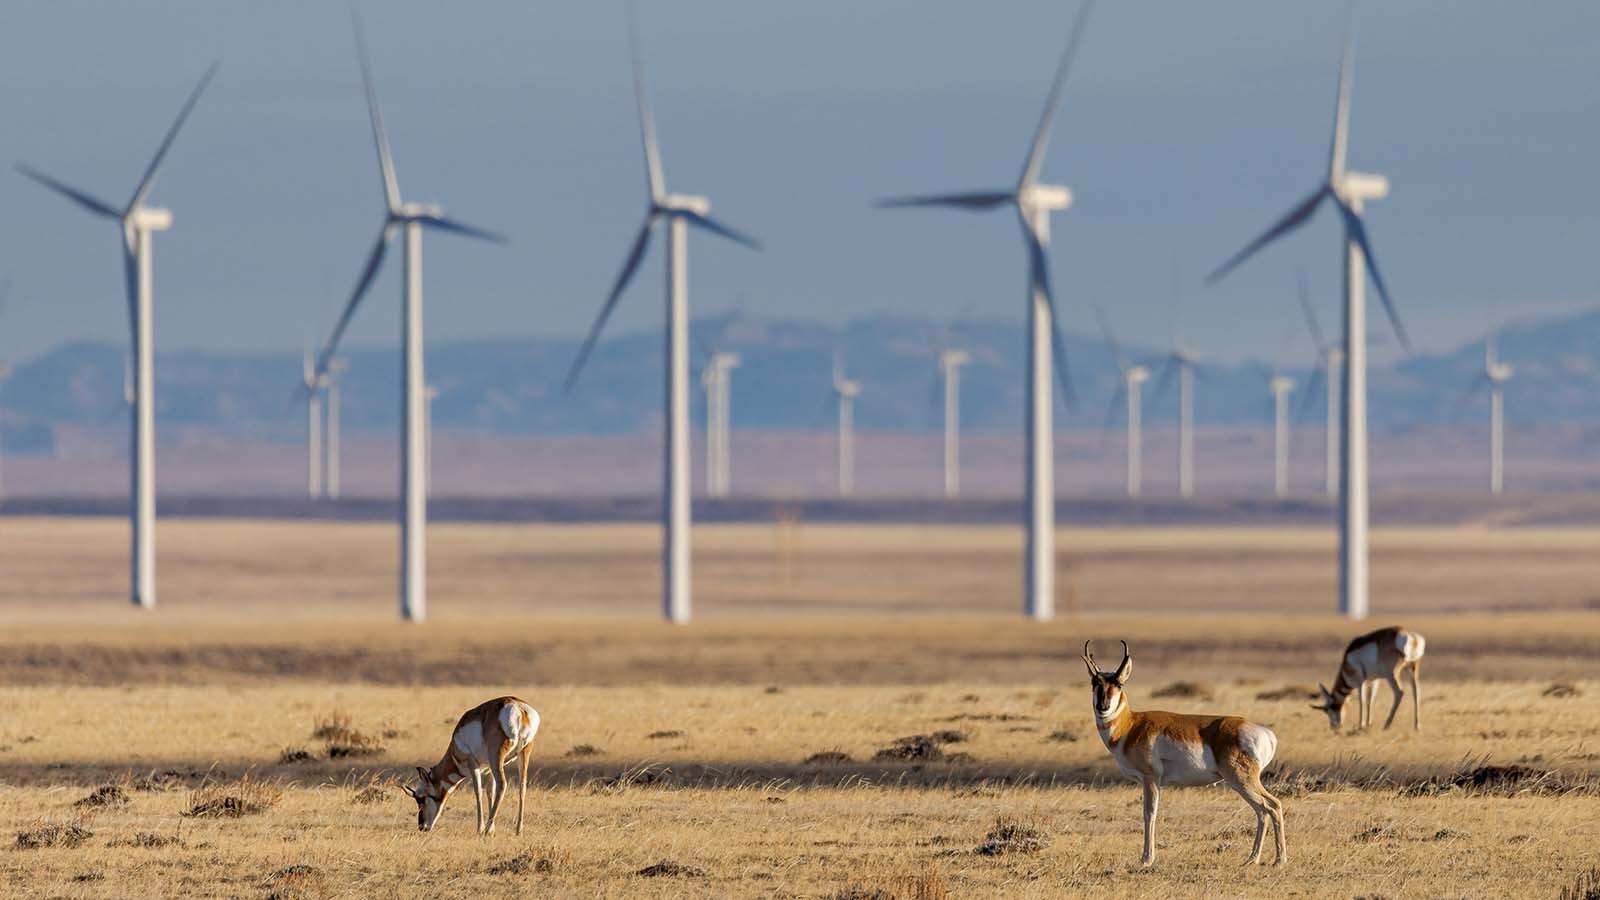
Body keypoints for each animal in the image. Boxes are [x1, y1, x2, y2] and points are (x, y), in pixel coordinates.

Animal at [403, 695, 540, 832]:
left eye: (421, 799)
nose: (421, 826)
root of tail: (519, 708)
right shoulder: (489, 767)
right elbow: (490, 791)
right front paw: (492, 830)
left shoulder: (473, 764)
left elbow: (478, 791)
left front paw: (481, 829)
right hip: (523, 753)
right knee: (522, 786)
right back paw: (518, 831)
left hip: (497, 757)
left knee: (502, 784)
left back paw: (485, 831)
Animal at [1075, 637, 1286, 864]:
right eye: (1095, 683)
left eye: (1119, 684)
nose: (1103, 707)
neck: (1131, 725)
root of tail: (1264, 733)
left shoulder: (1151, 779)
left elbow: (1149, 814)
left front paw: (1146, 859)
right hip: (1241, 783)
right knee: (1262, 810)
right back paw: (1252, 859)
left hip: (1242, 781)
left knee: (1272, 805)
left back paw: (1279, 860)